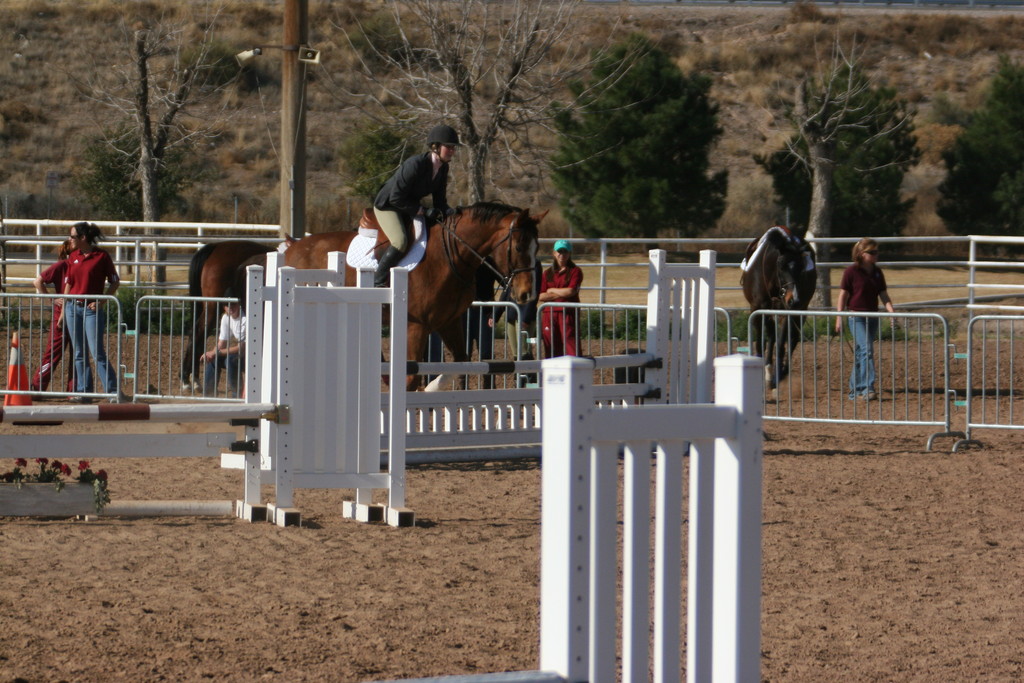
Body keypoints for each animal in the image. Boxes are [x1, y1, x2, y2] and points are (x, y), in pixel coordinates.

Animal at [286, 200, 544, 387]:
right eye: (519, 247)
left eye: (537, 248)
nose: (527, 294)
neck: (449, 256)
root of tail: (290, 249)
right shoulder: (415, 326)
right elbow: (410, 377)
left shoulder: (449, 322)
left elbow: (460, 365)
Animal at [741, 225, 819, 395]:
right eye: (781, 265)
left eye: (801, 266)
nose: (794, 299)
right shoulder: (757, 309)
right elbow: (762, 342)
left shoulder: (787, 312)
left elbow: (782, 344)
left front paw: (777, 379)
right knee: (772, 336)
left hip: (800, 311)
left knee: (793, 340)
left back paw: (781, 373)